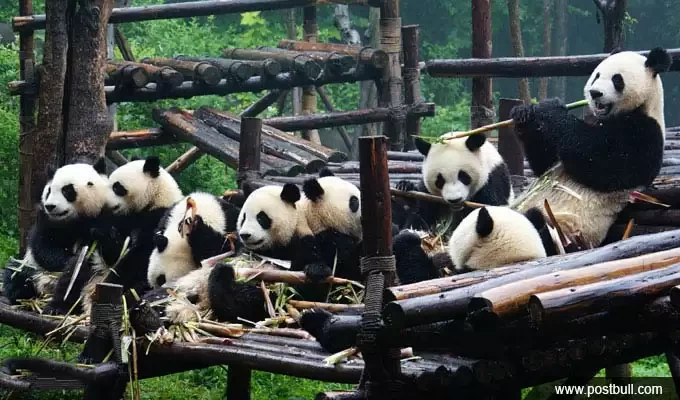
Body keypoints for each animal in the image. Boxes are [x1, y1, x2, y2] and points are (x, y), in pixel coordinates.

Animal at [3, 159, 110, 315]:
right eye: (49, 191)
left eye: (67, 190)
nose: (50, 206)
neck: (76, 220)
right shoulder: (46, 220)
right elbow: (45, 247)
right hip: (31, 268)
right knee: (16, 272)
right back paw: (19, 295)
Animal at [509, 47, 670, 247]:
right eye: (596, 75)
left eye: (617, 79)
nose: (595, 93)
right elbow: (545, 164)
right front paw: (523, 113)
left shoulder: (645, 132)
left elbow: (600, 161)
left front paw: (551, 107)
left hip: (565, 231)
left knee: (535, 224)